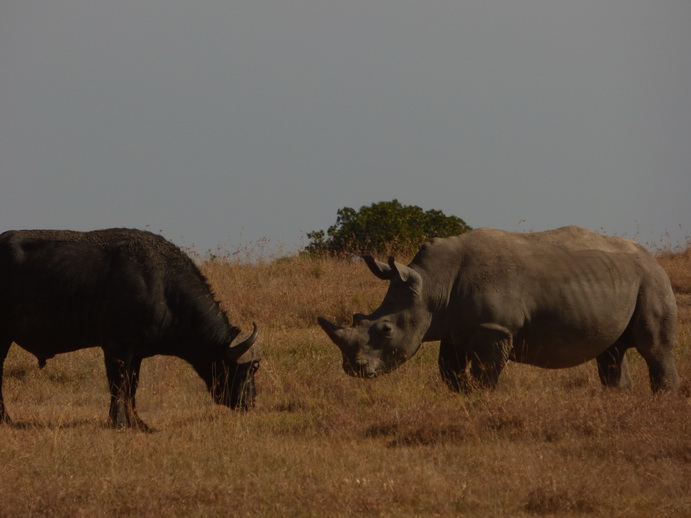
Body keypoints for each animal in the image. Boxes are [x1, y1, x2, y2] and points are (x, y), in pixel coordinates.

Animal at [0, 229, 260, 430]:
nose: (251, 402)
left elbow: (131, 389)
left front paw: (138, 422)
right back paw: (7, 420)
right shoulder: (117, 349)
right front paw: (119, 423)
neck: (164, 290)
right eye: (245, 373)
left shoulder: (136, 354)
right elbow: (118, 387)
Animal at [320, 226, 680, 394]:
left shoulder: (494, 328)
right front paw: (462, 397)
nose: (353, 370)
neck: (432, 287)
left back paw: (661, 402)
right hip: (621, 280)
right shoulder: (455, 329)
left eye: (386, 329)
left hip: (652, 280)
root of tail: (650, 257)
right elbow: (449, 371)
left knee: (655, 348)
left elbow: (485, 373)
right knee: (611, 351)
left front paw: (480, 398)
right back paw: (618, 399)